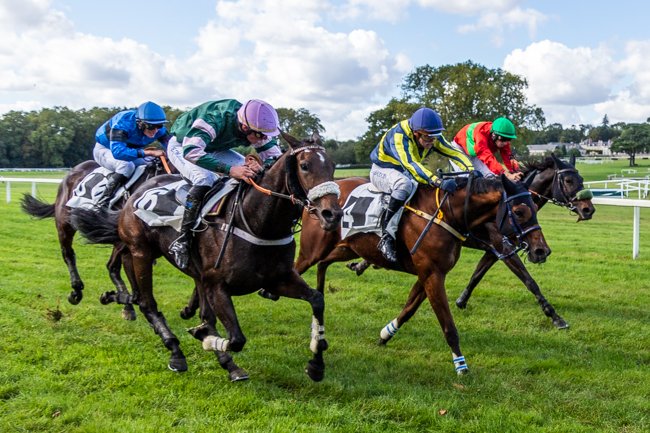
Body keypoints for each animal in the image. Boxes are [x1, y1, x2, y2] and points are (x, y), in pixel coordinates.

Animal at [70, 132, 342, 382]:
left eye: (332, 165)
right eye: (304, 165)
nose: (332, 214)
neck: (257, 222)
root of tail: (134, 196)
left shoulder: (276, 279)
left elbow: (317, 300)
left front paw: (316, 363)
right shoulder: (216, 284)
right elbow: (235, 338)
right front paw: (205, 337)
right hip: (140, 252)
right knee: (146, 303)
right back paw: (175, 351)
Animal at [294, 174, 548, 372]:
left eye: (536, 208)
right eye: (520, 211)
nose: (541, 250)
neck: (447, 213)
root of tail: (317, 198)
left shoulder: (429, 273)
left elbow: (409, 309)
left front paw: (385, 334)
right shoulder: (432, 274)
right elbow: (448, 325)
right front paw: (461, 365)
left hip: (346, 248)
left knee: (322, 267)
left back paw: (317, 330)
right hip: (311, 251)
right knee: (296, 271)